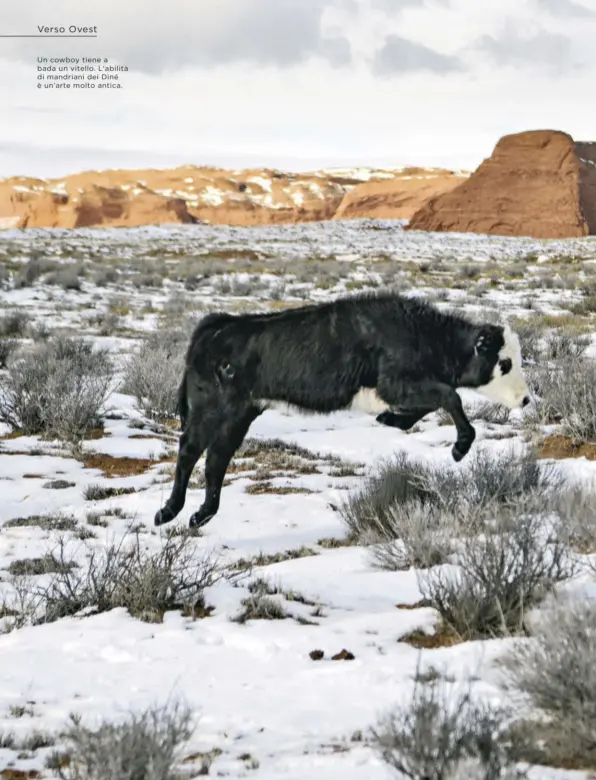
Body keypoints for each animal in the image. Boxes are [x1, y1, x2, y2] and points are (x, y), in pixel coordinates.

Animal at [155, 292, 532, 532]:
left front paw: (391, 419)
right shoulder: (395, 382)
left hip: (239, 415)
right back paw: (168, 511)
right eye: (504, 362)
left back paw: (200, 515)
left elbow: (430, 402)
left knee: (216, 460)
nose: (526, 399)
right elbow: (450, 397)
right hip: (212, 410)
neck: (421, 334)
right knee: (189, 451)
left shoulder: (398, 388)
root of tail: (217, 326)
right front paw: (460, 447)